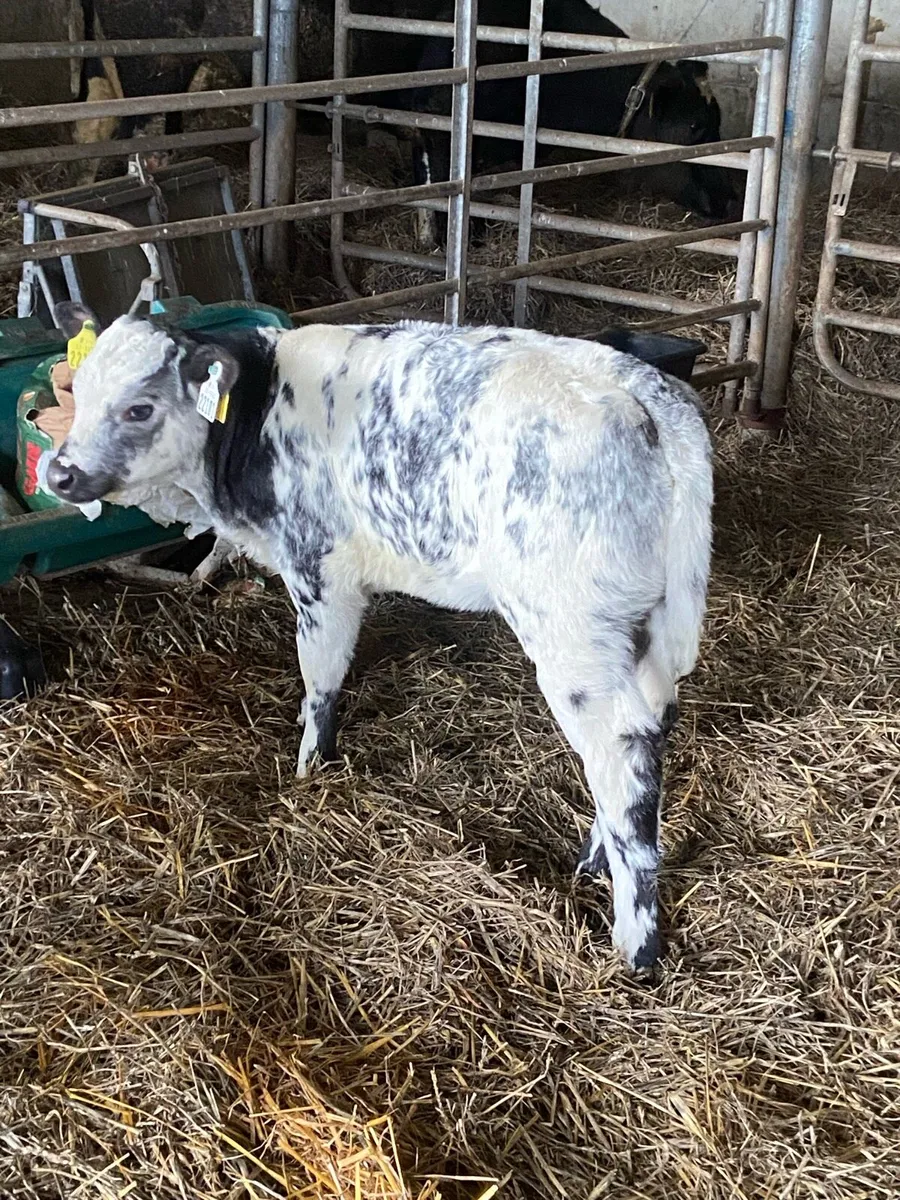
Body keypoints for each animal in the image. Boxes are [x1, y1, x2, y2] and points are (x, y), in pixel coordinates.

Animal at [45, 300, 712, 973]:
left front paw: (309, 768)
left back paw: (636, 942)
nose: (60, 473)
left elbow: (321, 675)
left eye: (140, 408)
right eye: (80, 389)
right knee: (652, 726)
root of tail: (646, 392)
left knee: (623, 748)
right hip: (646, 625)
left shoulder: (319, 569)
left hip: (569, 630)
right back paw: (592, 858)